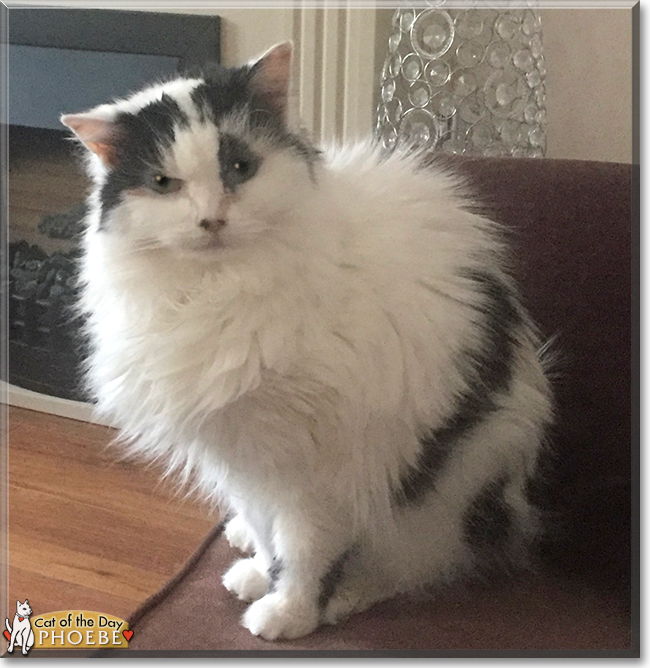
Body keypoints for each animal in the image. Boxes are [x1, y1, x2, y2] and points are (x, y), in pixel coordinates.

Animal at [62, 43, 552, 640]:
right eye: (163, 184)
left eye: (240, 168)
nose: (211, 220)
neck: (217, 290)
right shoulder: (244, 456)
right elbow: (265, 529)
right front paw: (257, 575)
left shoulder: (313, 469)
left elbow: (302, 550)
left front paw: (287, 614)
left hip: (444, 492)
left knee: (416, 564)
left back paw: (345, 598)